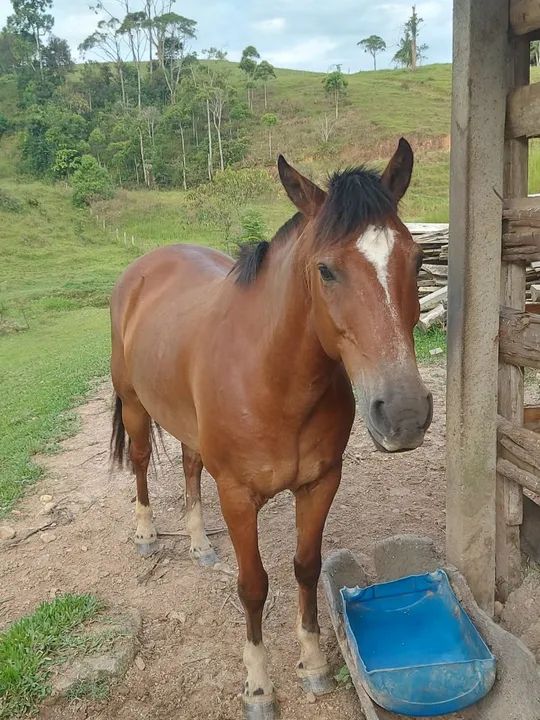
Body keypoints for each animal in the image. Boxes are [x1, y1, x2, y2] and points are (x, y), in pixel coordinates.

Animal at [109, 137, 432, 719]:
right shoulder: (238, 497)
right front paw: (258, 687)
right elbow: (254, 586)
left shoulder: (320, 483)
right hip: (134, 405)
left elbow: (306, 567)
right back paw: (146, 536)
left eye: (416, 260)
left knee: (190, 467)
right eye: (326, 270)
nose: (404, 415)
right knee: (142, 463)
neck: (272, 378)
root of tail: (145, 267)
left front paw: (314, 663)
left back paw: (199, 544)